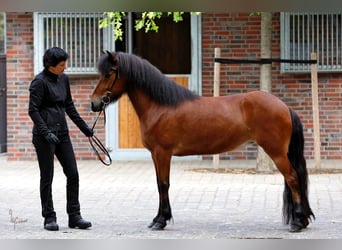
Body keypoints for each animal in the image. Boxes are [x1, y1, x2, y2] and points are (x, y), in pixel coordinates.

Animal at [91, 50, 316, 232]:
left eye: (108, 74)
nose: (94, 103)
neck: (161, 106)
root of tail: (284, 106)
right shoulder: (156, 154)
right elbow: (159, 184)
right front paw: (157, 218)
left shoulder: (162, 153)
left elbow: (163, 184)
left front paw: (161, 221)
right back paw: (302, 220)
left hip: (276, 152)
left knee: (293, 179)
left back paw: (297, 222)